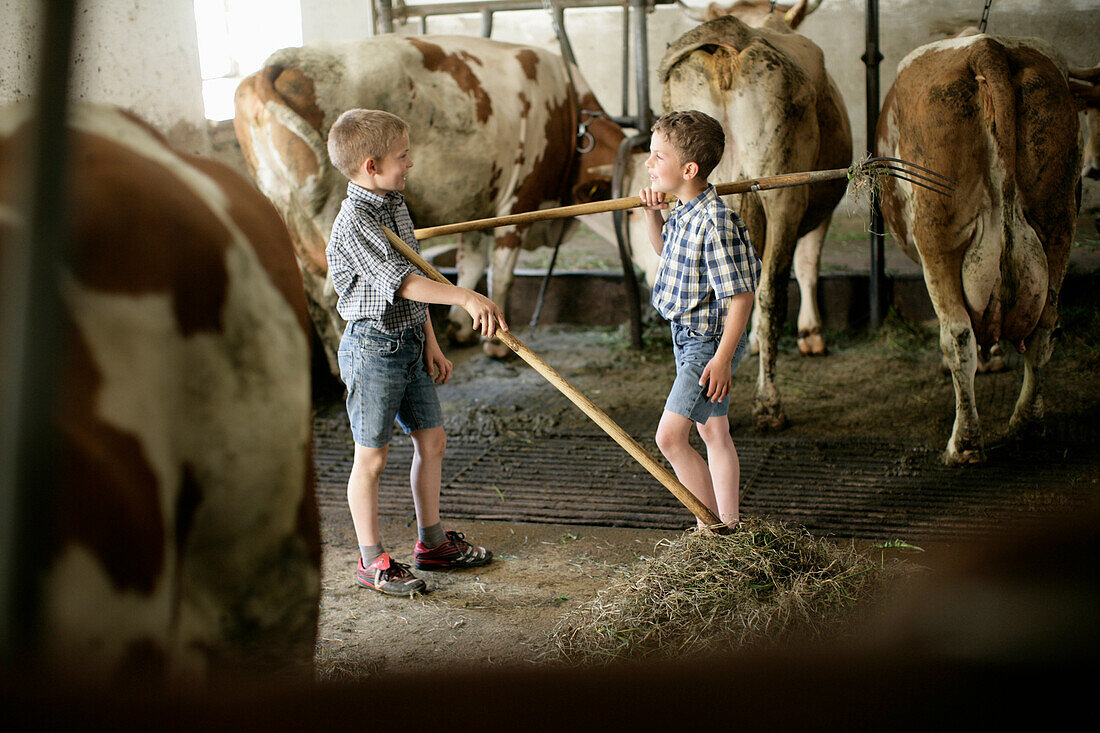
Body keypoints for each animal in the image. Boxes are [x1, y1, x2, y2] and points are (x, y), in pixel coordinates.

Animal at [233, 34, 624, 365]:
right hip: (326, 218)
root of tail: (273, 65)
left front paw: (461, 328)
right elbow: (501, 273)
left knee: (313, 298)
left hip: (287, 216)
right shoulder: (519, 199)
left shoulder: (478, 200)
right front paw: (497, 346)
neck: (568, 117)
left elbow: (470, 264)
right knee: (333, 296)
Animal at [642, 5, 853, 429]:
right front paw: (811, 335)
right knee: (773, 290)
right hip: (784, 190)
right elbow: (806, 266)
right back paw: (769, 404)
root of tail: (732, 36)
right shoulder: (818, 207)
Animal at [875, 32, 1082, 462]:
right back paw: (1025, 425)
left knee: (958, 334)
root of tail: (988, 48)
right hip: (1058, 221)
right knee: (1045, 329)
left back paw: (965, 442)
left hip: (936, 231)